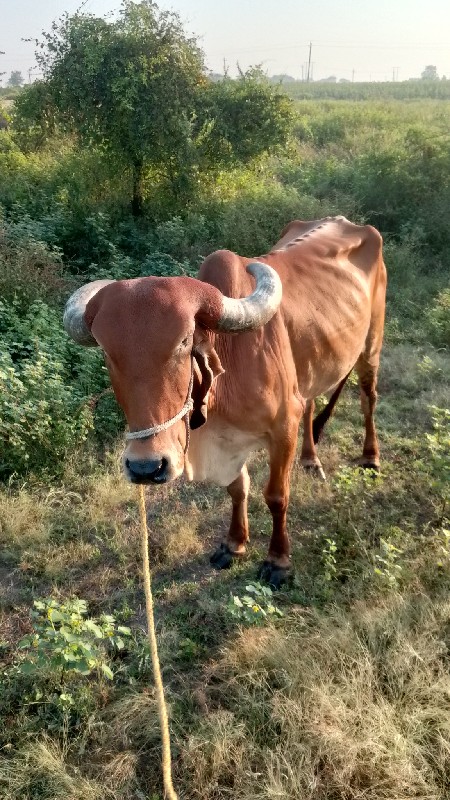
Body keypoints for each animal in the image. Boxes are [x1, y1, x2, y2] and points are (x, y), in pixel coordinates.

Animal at [63, 216, 386, 584]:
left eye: (184, 341)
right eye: (106, 350)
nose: (145, 467)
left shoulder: (283, 427)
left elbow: (276, 495)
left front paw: (278, 560)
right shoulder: (230, 439)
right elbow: (237, 488)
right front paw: (234, 543)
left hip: (371, 345)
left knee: (368, 397)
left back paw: (370, 457)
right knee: (312, 404)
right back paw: (310, 460)